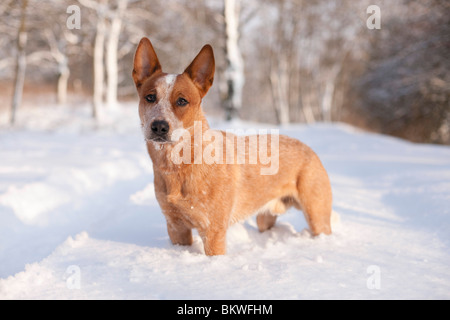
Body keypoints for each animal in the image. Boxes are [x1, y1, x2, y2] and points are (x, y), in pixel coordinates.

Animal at [132, 37, 332, 255]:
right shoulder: (176, 227)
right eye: (150, 97)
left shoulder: (213, 231)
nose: (159, 126)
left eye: (182, 101)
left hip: (317, 215)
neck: (178, 165)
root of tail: (309, 149)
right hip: (265, 217)